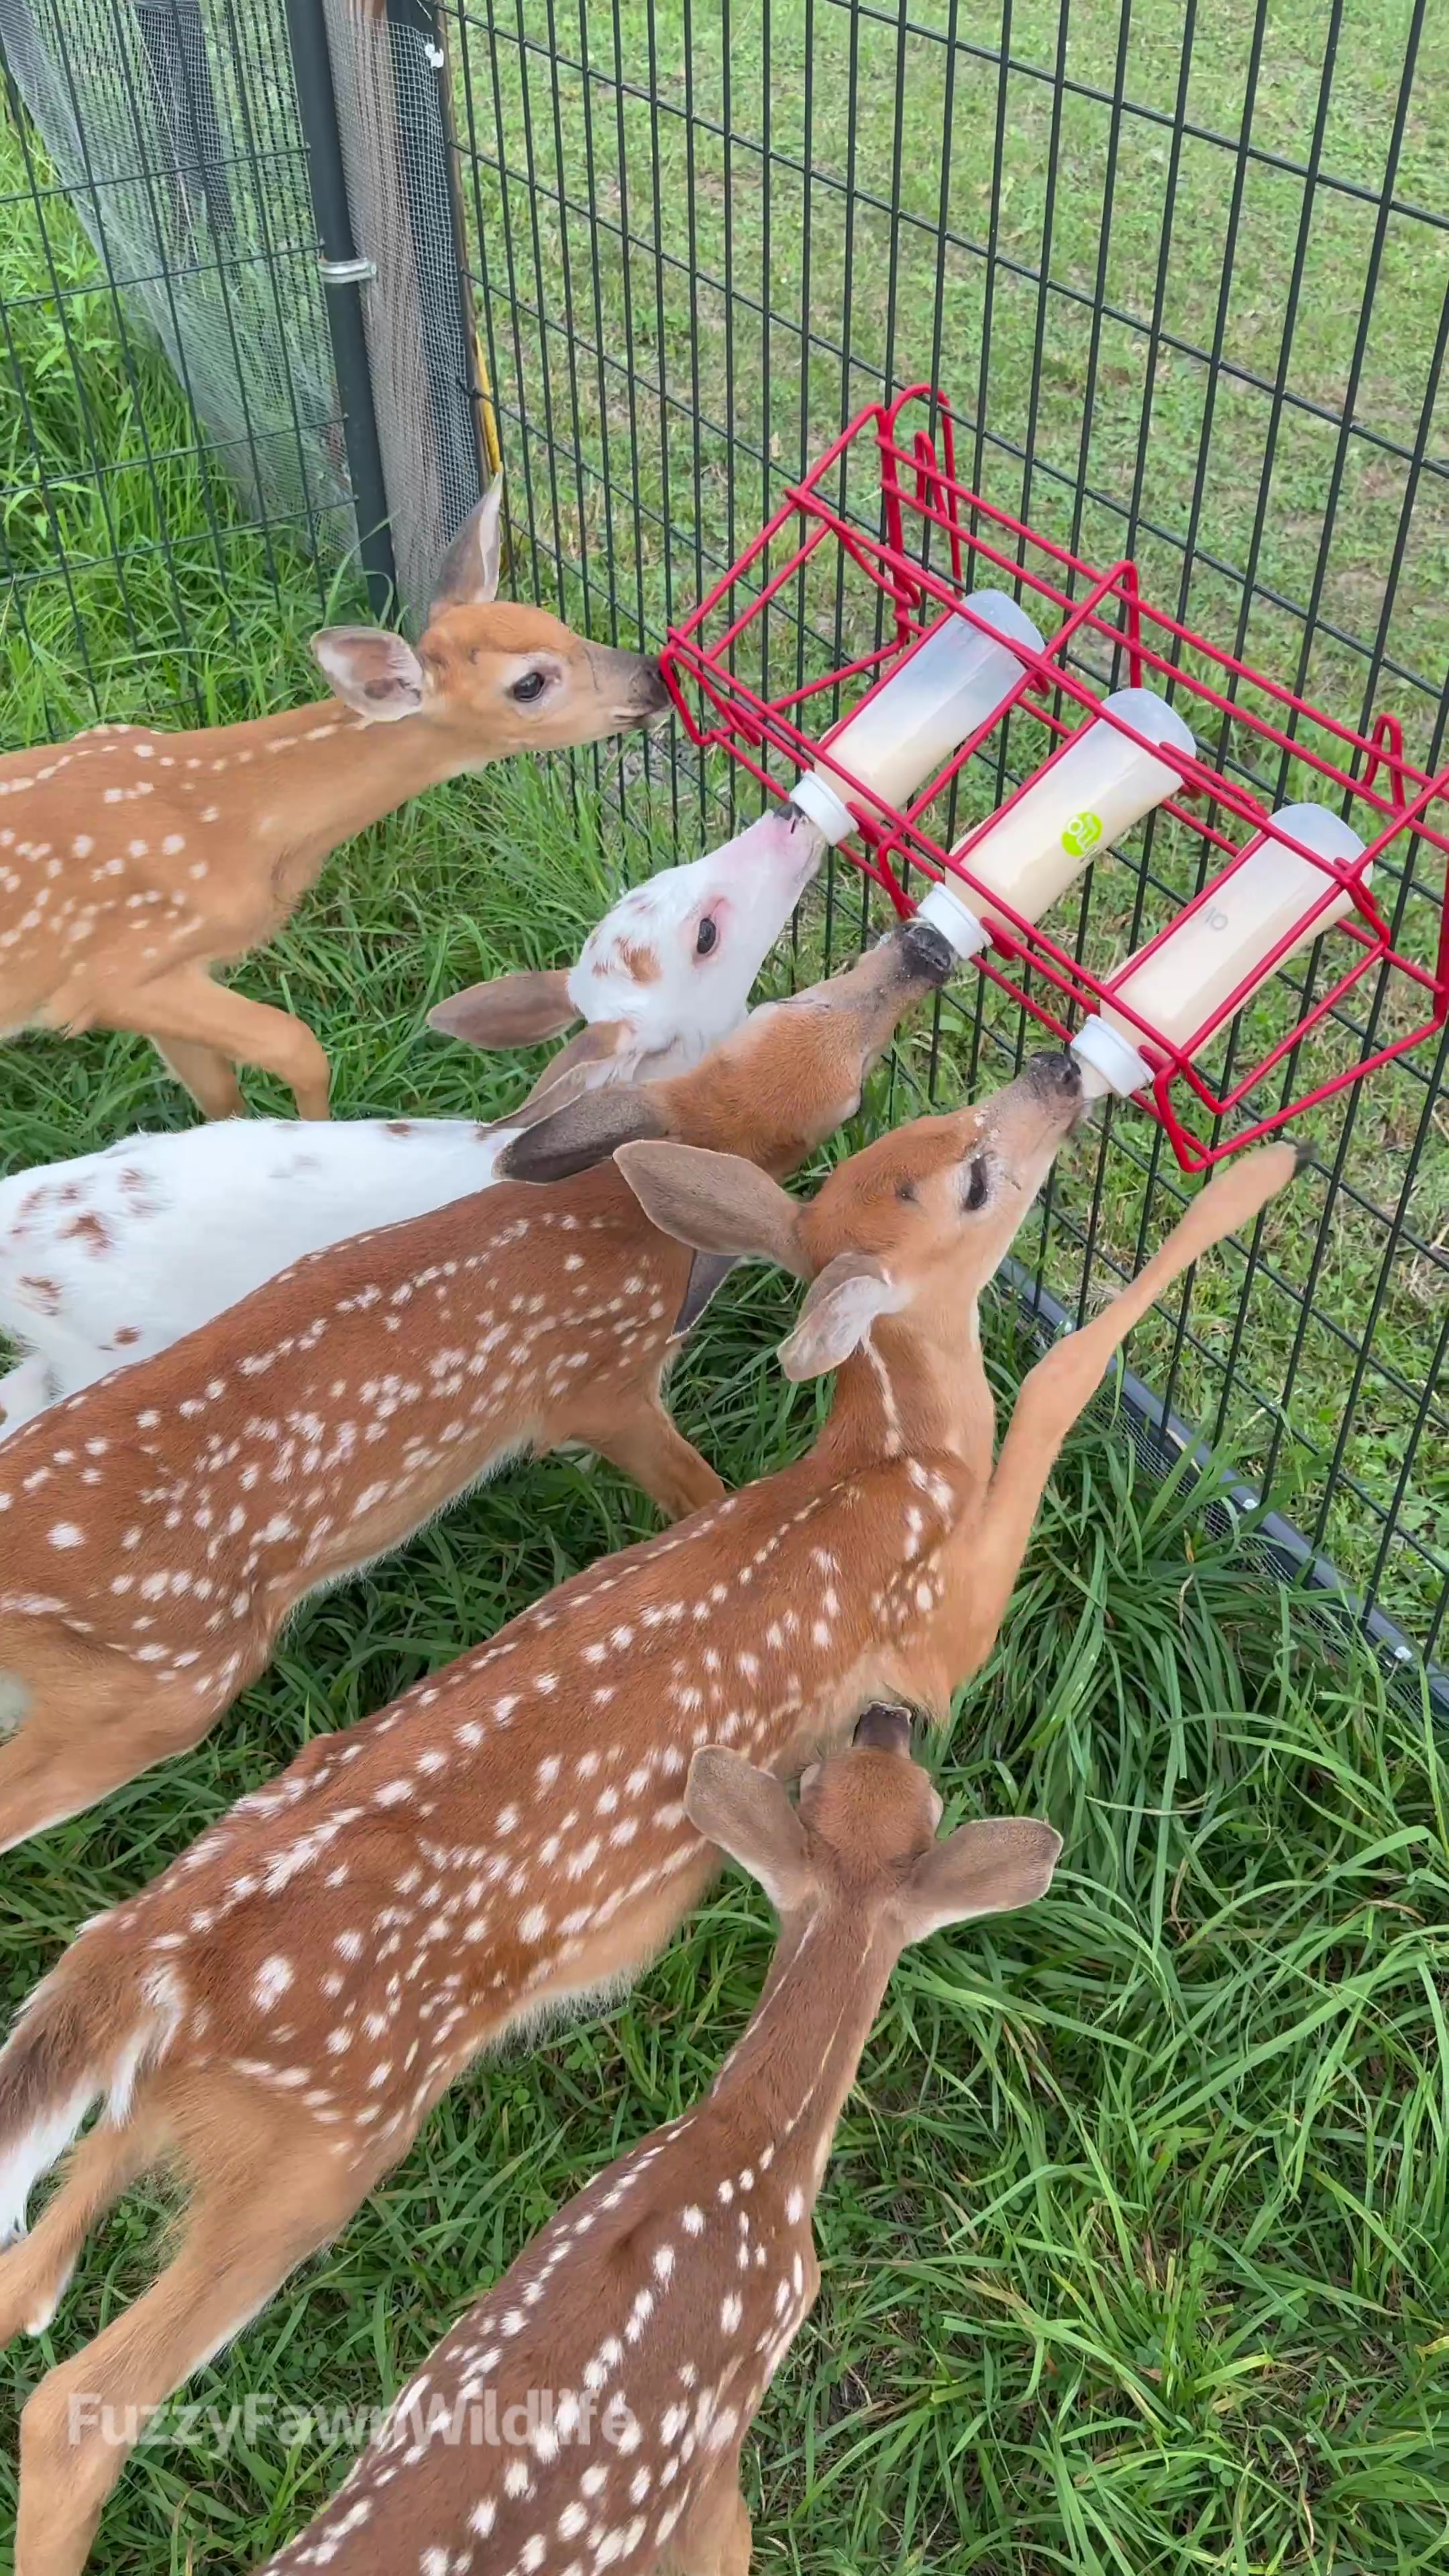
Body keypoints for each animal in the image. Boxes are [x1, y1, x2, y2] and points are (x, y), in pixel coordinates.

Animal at [0, 478, 668, 1121]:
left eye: (555, 621)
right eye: (529, 683)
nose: (655, 678)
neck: (233, 822)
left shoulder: (169, 973)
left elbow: (219, 1098)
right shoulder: (105, 978)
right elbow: (297, 1046)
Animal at [0, 914, 953, 1853]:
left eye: (799, 996)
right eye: (854, 1101)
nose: (927, 950)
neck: (620, 1208)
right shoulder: (603, 1387)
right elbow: (694, 1485)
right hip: (162, 1686)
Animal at [254, 1709, 1060, 2576]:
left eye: (864, 1782)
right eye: (935, 1805)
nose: (886, 1720)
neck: (750, 2141)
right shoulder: (722, 2427)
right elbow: (727, 2543)